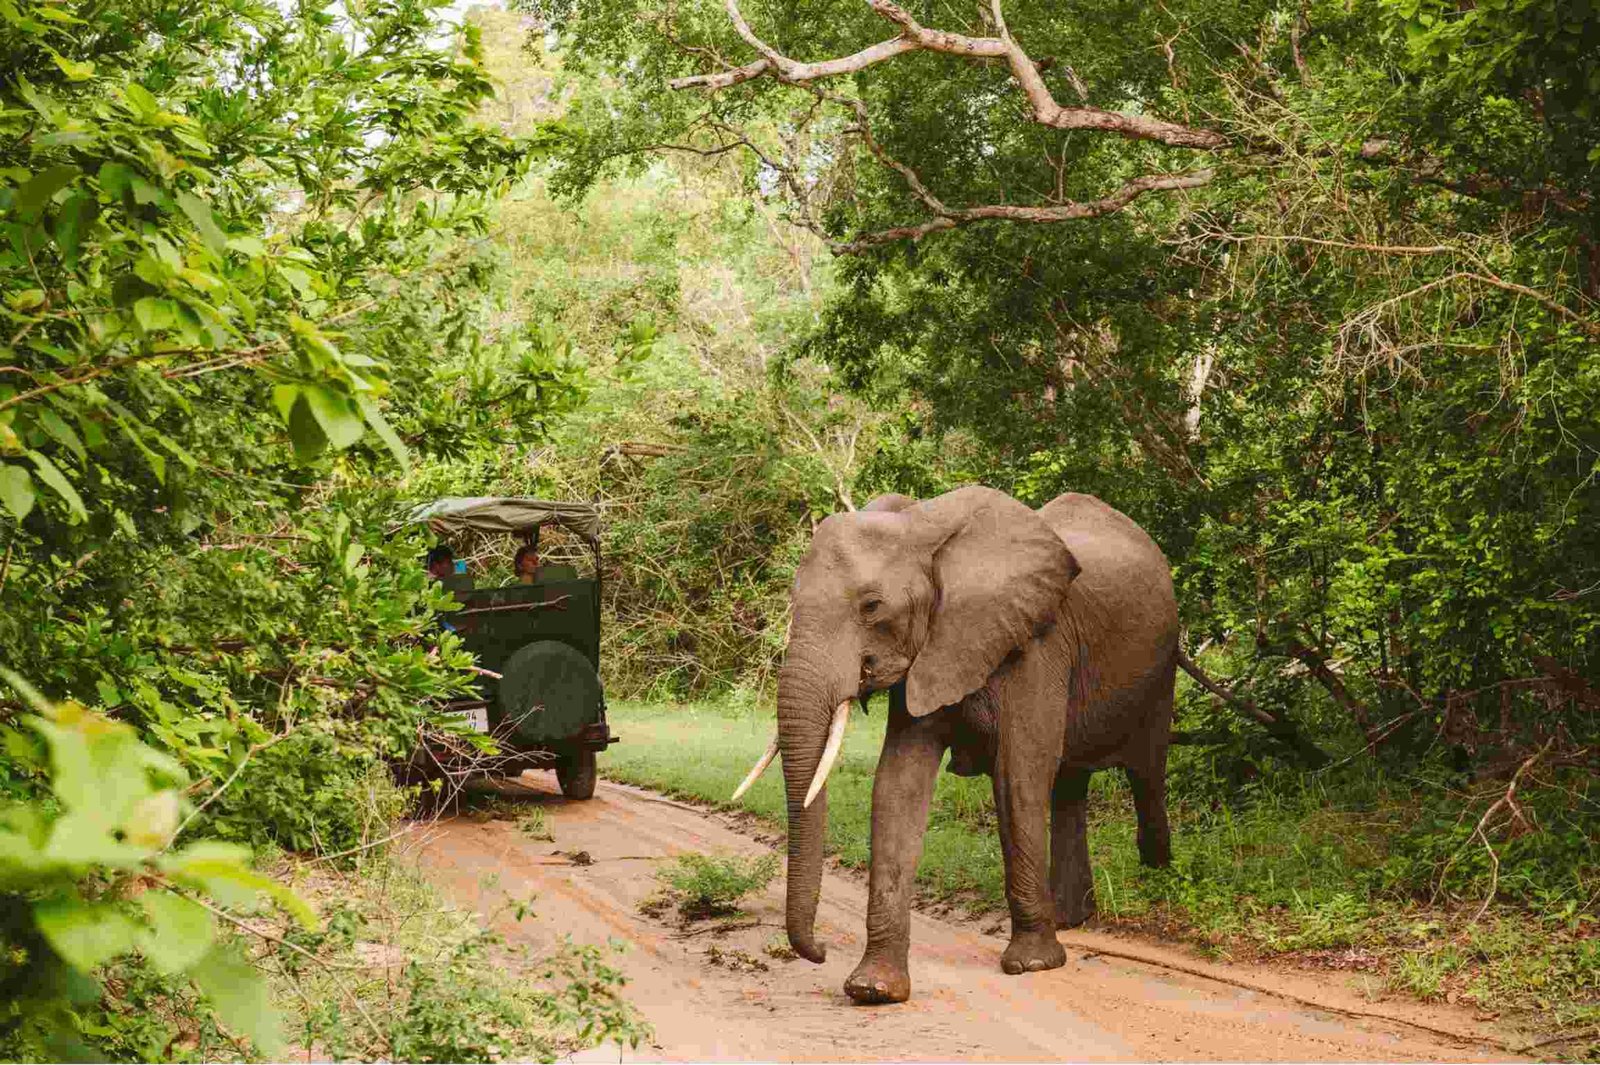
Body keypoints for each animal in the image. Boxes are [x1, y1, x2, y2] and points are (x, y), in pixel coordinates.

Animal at [731, 485, 1178, 1004]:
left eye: (871, 606)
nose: (819, 951)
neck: (923, 527)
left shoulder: (1036, 644)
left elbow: (1019, 774)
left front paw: (1031, 965)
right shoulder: (930, 650)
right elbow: (898, 784)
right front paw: (874, 988)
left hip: (1161, 668)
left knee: (1145, 775)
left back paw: (1156, 880)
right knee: (1071, 785)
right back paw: (1070, 919)